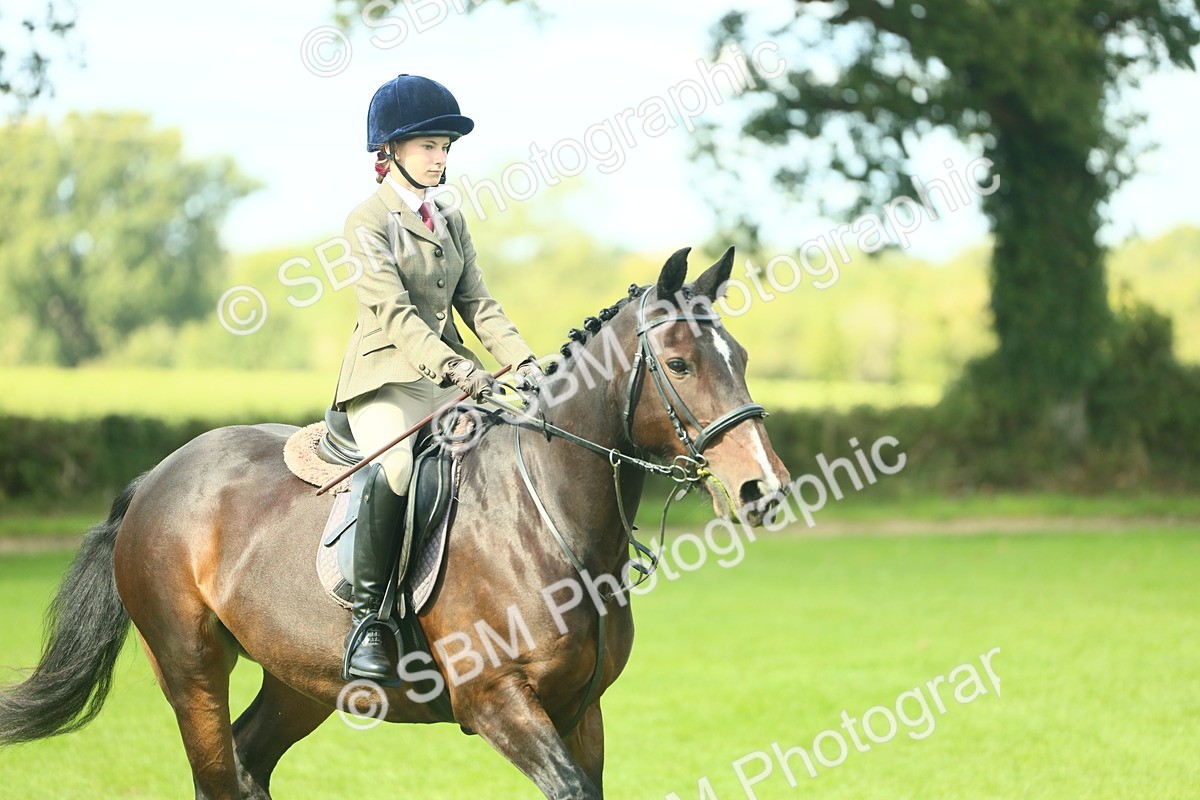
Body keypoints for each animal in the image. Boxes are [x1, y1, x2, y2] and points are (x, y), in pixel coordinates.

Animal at [0, 246, 791, 799]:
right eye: (680, 365)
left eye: (743, 357)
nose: (765, 488)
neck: (547, 518)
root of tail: (156, 479)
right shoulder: (499, 700)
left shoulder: (579, 708)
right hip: (190, 667)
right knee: (217, 772)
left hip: (301, 678)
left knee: (249, 761)